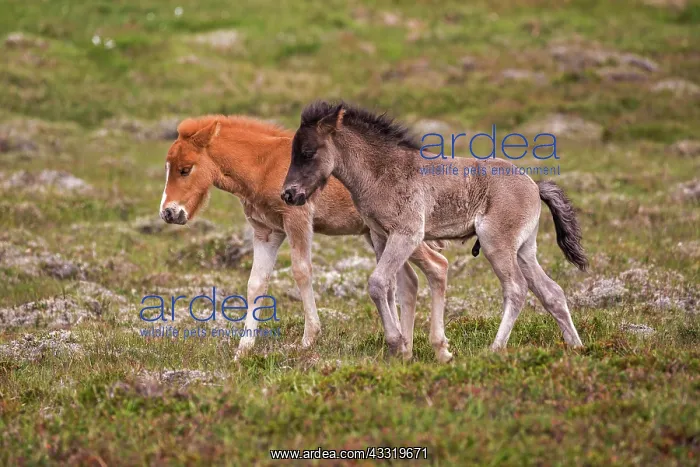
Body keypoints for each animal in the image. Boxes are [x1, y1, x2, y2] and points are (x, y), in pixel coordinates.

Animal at [158, 115, 454, 360]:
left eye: (186, 169)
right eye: (168, 167)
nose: (168, 213)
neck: (264, 166)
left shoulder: (297, 220)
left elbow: (301, 271)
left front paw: (309, 338)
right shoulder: (267, 232)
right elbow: (256, 284)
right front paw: (243, 350)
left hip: (405, 233)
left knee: (436, 266)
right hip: (378, 236)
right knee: (406, 283)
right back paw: (405, 348)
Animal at [282, 101, 588, 360]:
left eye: (308, 153)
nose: (288, 194)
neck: (382, 172)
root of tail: (535, 186)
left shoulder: (407, 234)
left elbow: (378, 283)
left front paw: (398, 342)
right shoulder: (380, 236)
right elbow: (392, 286)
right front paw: (402, 348)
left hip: (496, 244)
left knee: (516, 289)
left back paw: (495, 348)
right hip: (524, 250)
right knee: (551, 292)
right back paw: (577, 346)